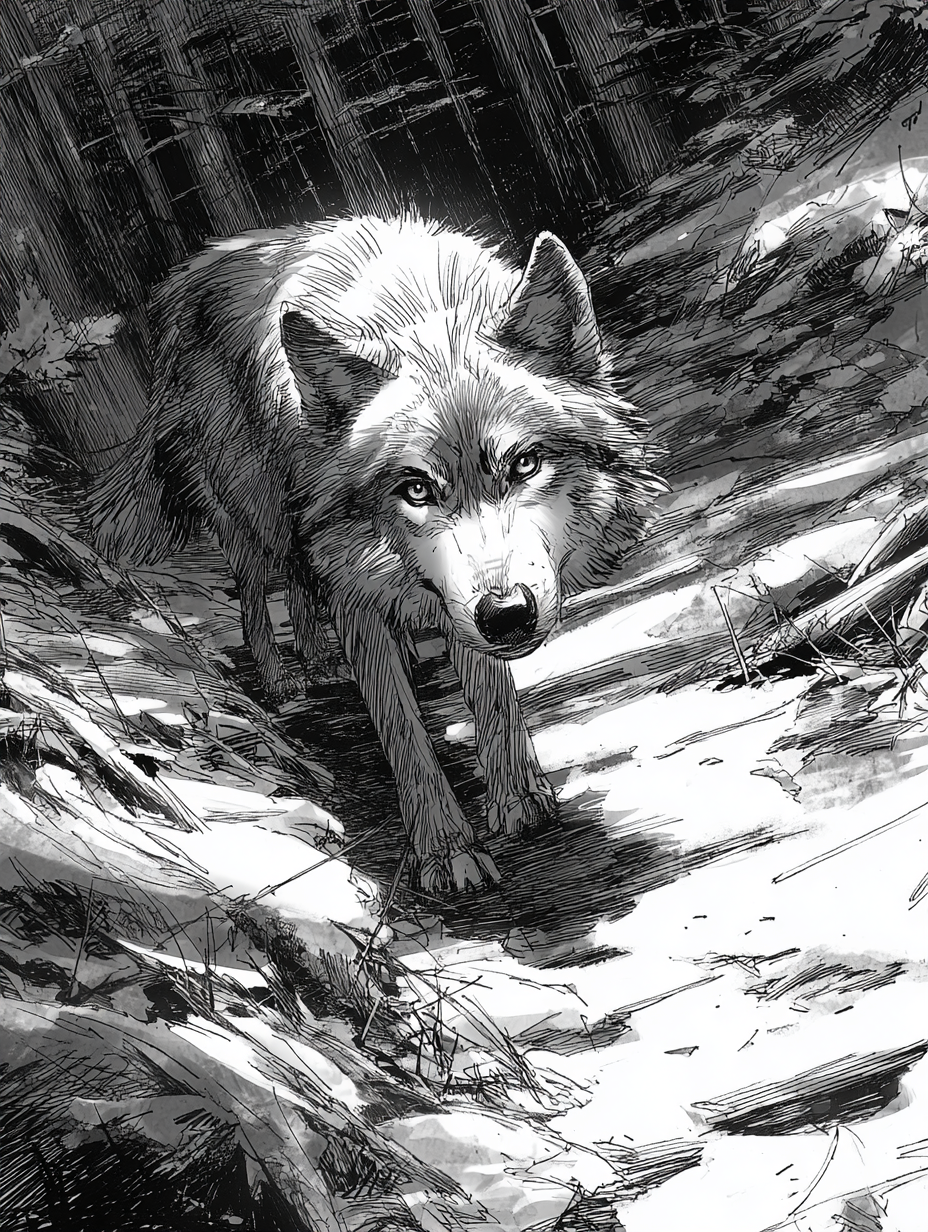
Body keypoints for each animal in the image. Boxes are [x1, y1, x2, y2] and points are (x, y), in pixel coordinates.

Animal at [93, 215, 665, 892]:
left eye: (524, 463)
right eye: (416, 489)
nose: (507, 614)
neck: (417, 306)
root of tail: (192, 270)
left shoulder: (452, 603)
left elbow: (491, 693)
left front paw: (518, 798)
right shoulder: (360, 598)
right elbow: (402, 732)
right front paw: (446, 851)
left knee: (301, 580)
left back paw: (324, 661)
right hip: (253, 514)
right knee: (256, 588)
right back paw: (283, 679)